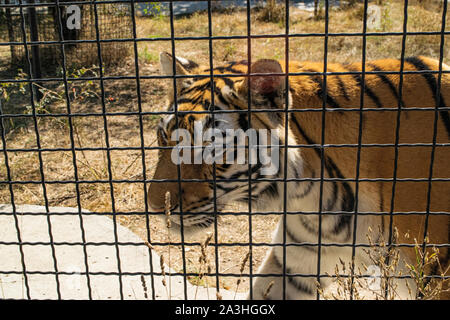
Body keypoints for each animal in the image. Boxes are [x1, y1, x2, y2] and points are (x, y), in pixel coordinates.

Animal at [146, 52, 448, 300]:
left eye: (210, 149)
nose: (156, 207)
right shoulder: (295, 262)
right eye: (163, 137)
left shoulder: (437, 273)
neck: (311, 193)